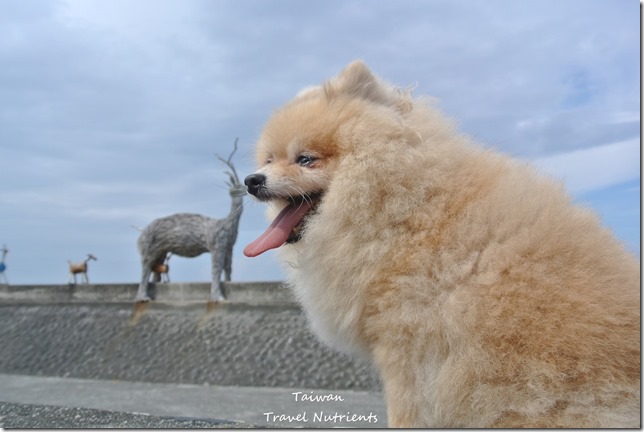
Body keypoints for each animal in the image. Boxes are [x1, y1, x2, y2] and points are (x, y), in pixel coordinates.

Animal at [243, 60, 640, 428]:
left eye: (305, 159)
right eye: (269, 159)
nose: (251, 180)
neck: (406, 208)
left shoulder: (405, 344)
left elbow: (404, 412)